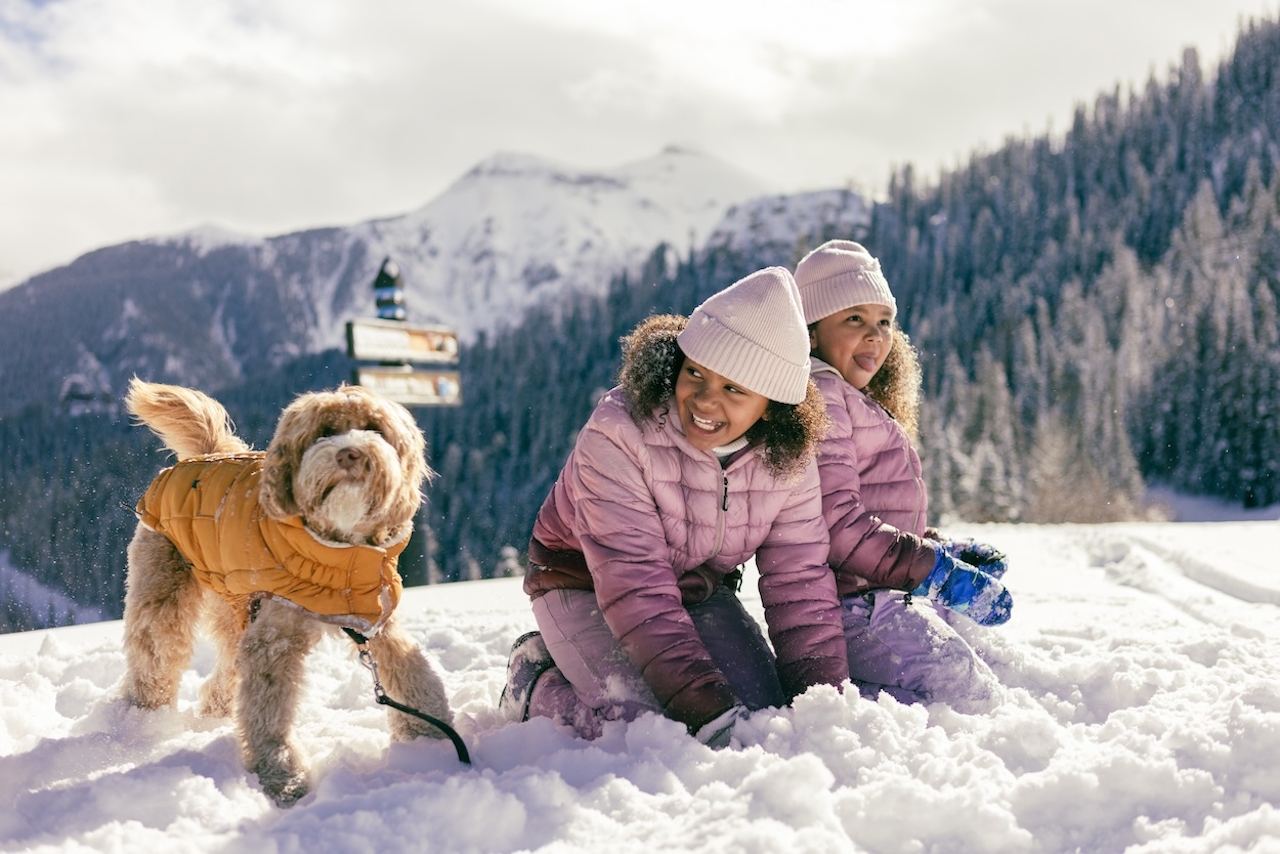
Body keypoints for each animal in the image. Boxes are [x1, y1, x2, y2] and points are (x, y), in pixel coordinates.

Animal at [116, 381, 455, 809]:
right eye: (324, 431)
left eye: (373, 429)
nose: (350, 453)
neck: (340, 556)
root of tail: (206, 454)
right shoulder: (275, 637)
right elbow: (268, 709)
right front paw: (282, 777)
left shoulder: (376, 618)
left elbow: (412, 672)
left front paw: (431, 736)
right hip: (165, 583)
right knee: (156, 651)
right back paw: (141, 722)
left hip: (235, 602)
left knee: (227, 666)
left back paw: (215, 708)